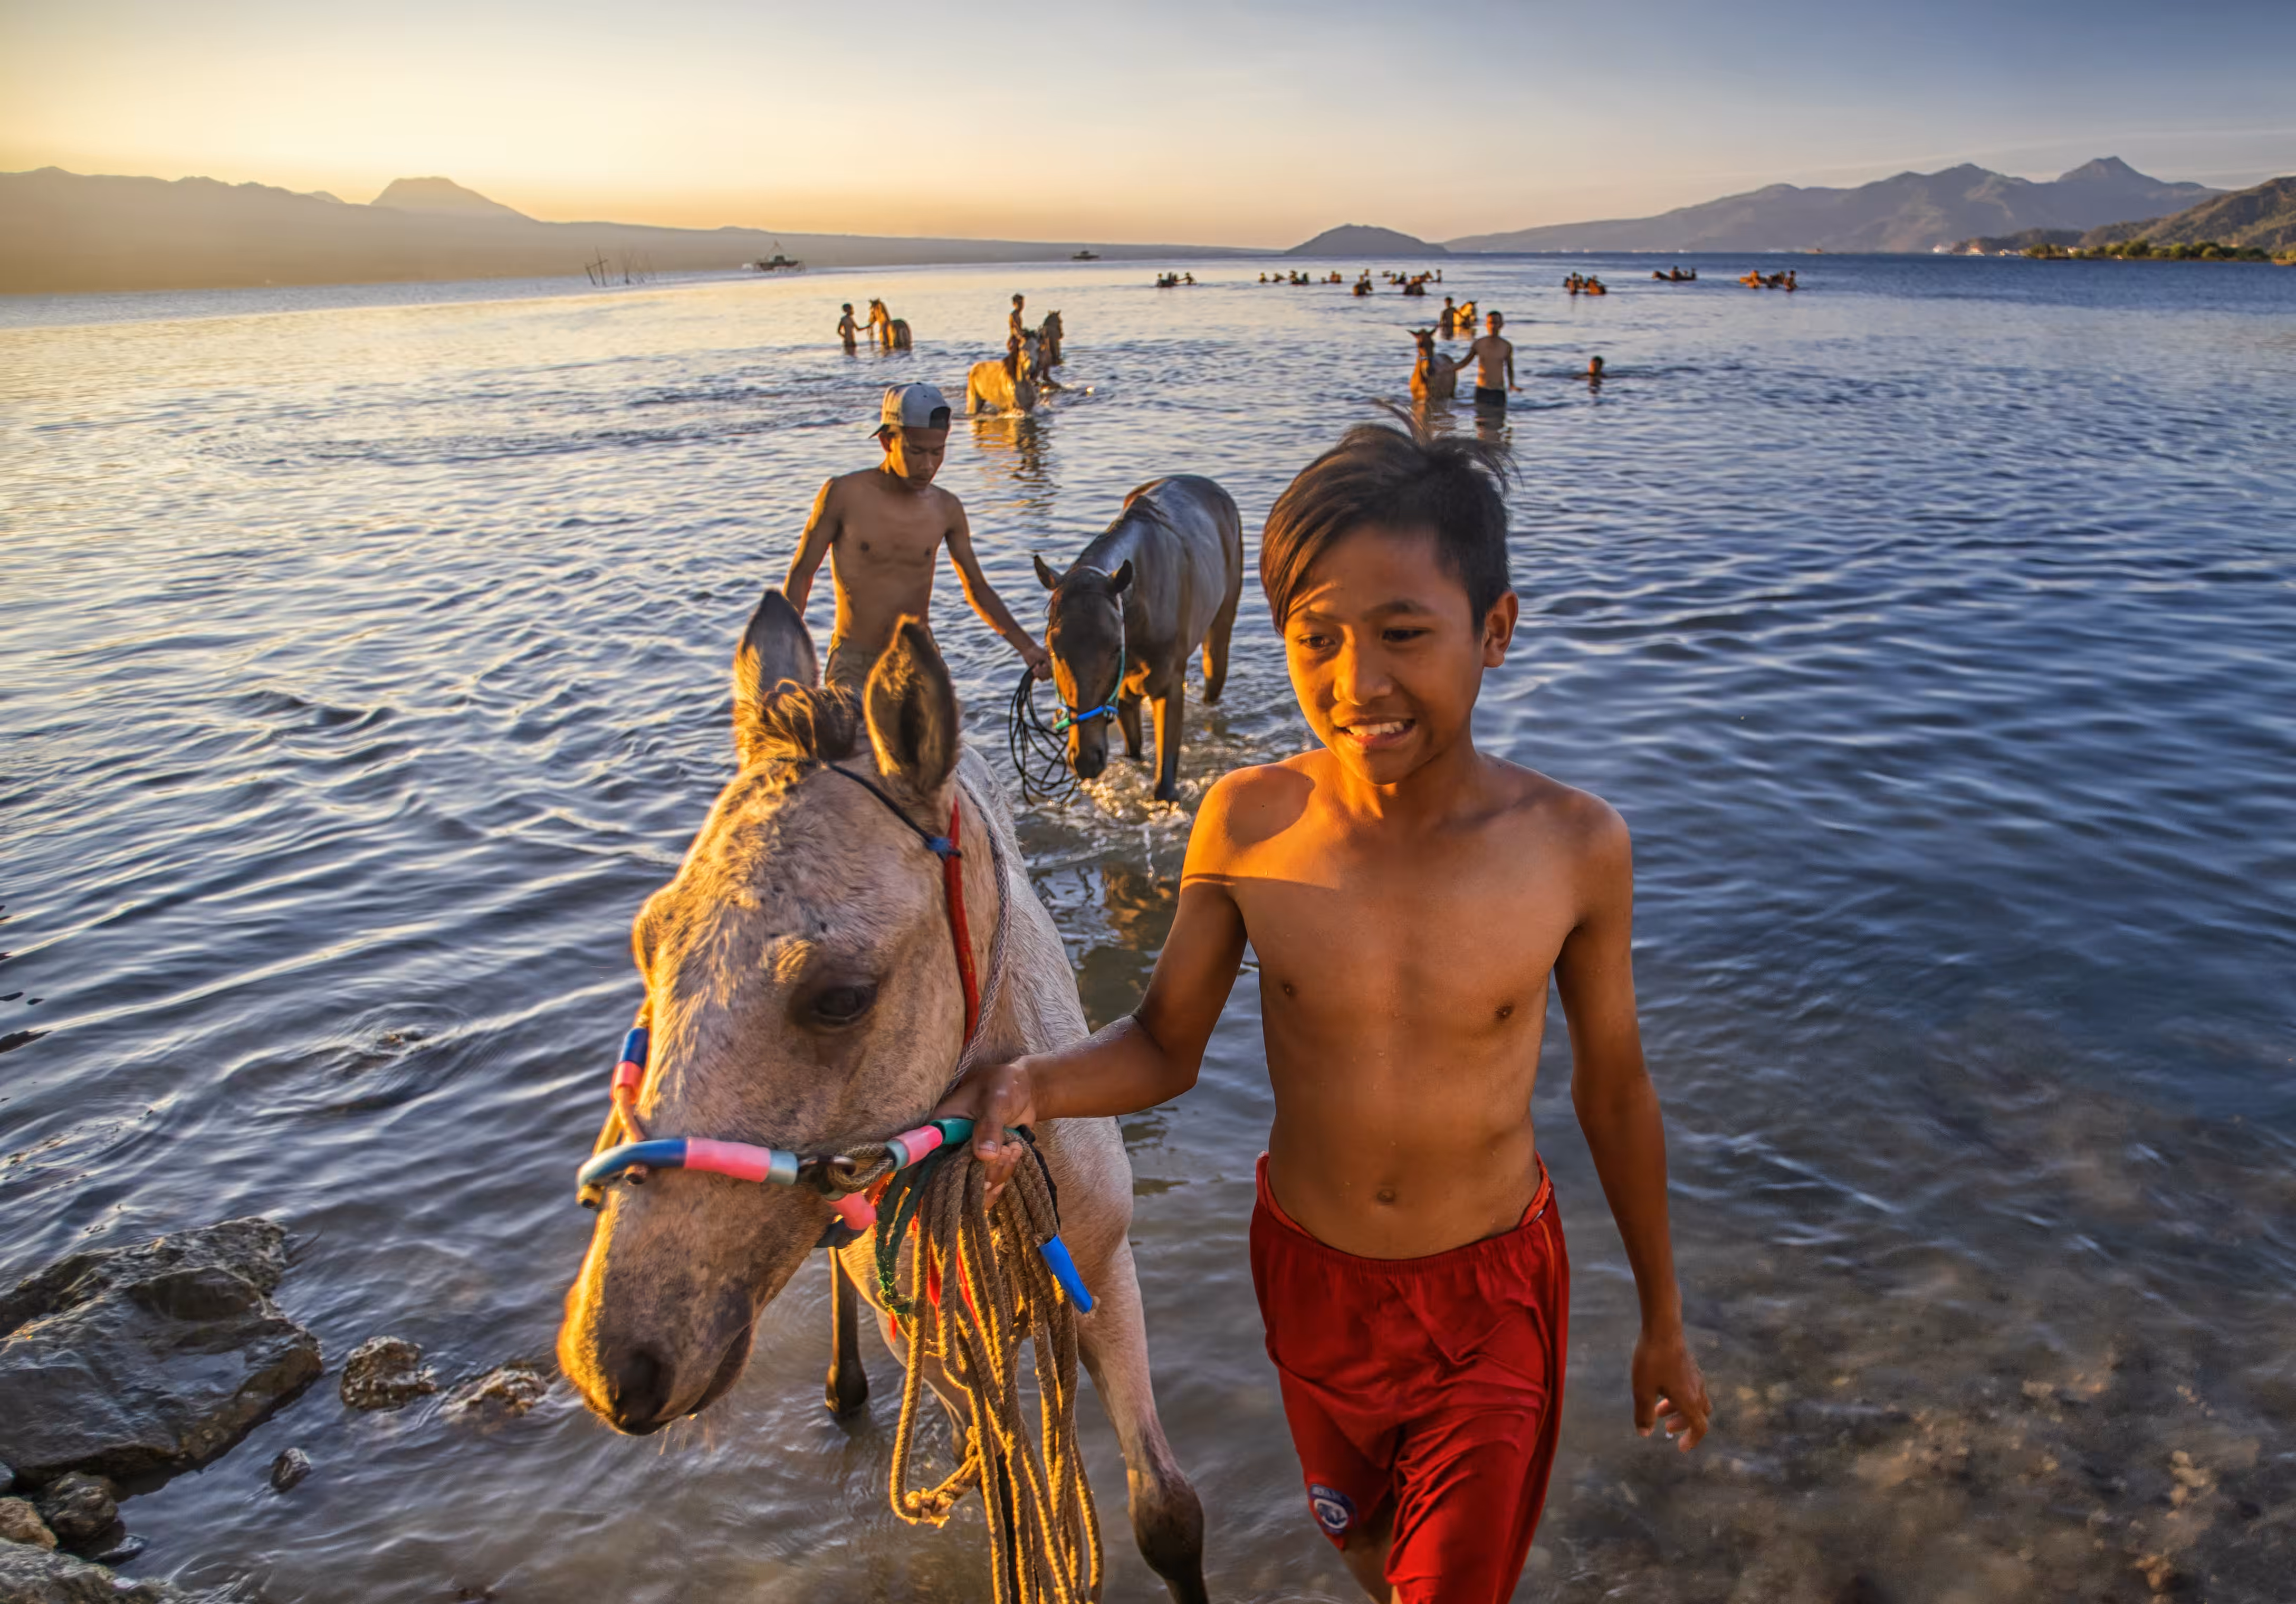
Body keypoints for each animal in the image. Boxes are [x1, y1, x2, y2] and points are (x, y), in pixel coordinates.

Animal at [556, 593, 1209, 1602]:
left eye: (841, 997)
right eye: (647, 944)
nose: (616, 1363)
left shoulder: (1104, 1273)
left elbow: (1166, 1515)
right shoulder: (925, 1337)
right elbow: (998, 1473)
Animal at [967, 332, 1043, 415]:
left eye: (1038, 349)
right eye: (1021, 348)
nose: (1031, 371)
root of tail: (973, 368)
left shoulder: (1028, 408)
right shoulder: (1015, 408)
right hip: (974, 402)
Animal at [1030, 476, 1243, 803]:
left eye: (1115, 647)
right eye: (1053, 649)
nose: (1086, 760)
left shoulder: (1168, 690)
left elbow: (1165, 785)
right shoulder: (1124, 697)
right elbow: (1134, 752)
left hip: (1219, 631)